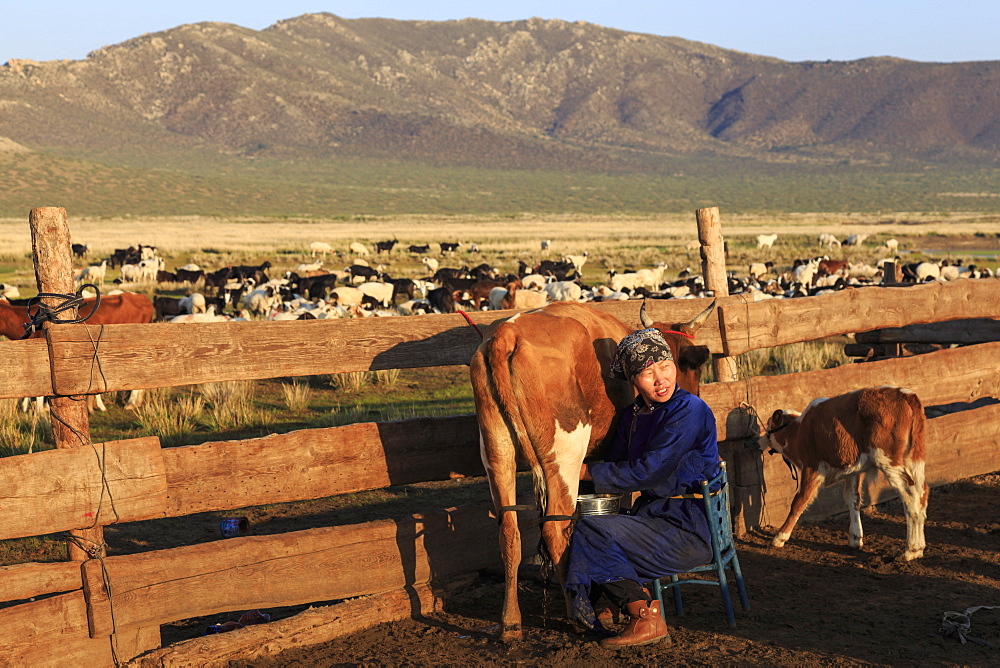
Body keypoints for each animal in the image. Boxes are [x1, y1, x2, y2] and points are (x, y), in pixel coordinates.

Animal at [756, 386, 928, 564]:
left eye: (769, 424)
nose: (759, 440)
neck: (799, 431)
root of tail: (905, 394)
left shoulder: (812, 468)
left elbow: (800, 501)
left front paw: (780, 537)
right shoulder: (853, 471)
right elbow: (852, 499)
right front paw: (855, 538)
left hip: (890, 462)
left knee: (910, 498)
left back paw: (911, 550)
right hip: (914, 460)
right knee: (922, 494)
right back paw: (918, 548)